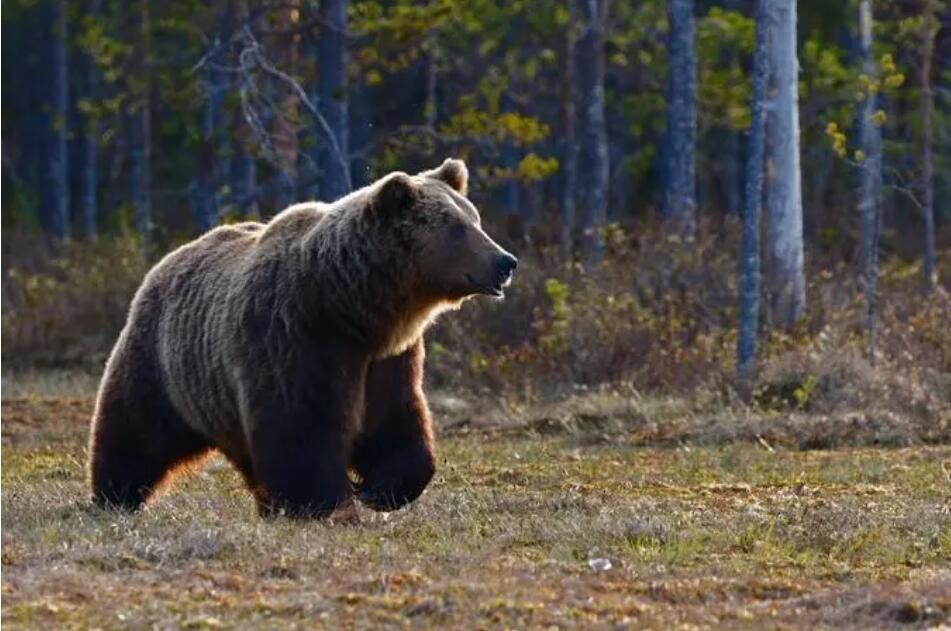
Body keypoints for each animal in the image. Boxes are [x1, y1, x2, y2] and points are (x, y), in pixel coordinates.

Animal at [88, 160, 516, 520]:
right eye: (456, 227)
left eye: (475, 218)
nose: (505, 261)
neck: (352, 308)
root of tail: (168, 259)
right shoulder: (296, 337)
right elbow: (301, 426)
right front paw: (323, 502)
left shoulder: (388, 358)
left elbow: (395, 421)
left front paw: (379, 490)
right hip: (163, 362)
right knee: (134, 428)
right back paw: (115, 495)